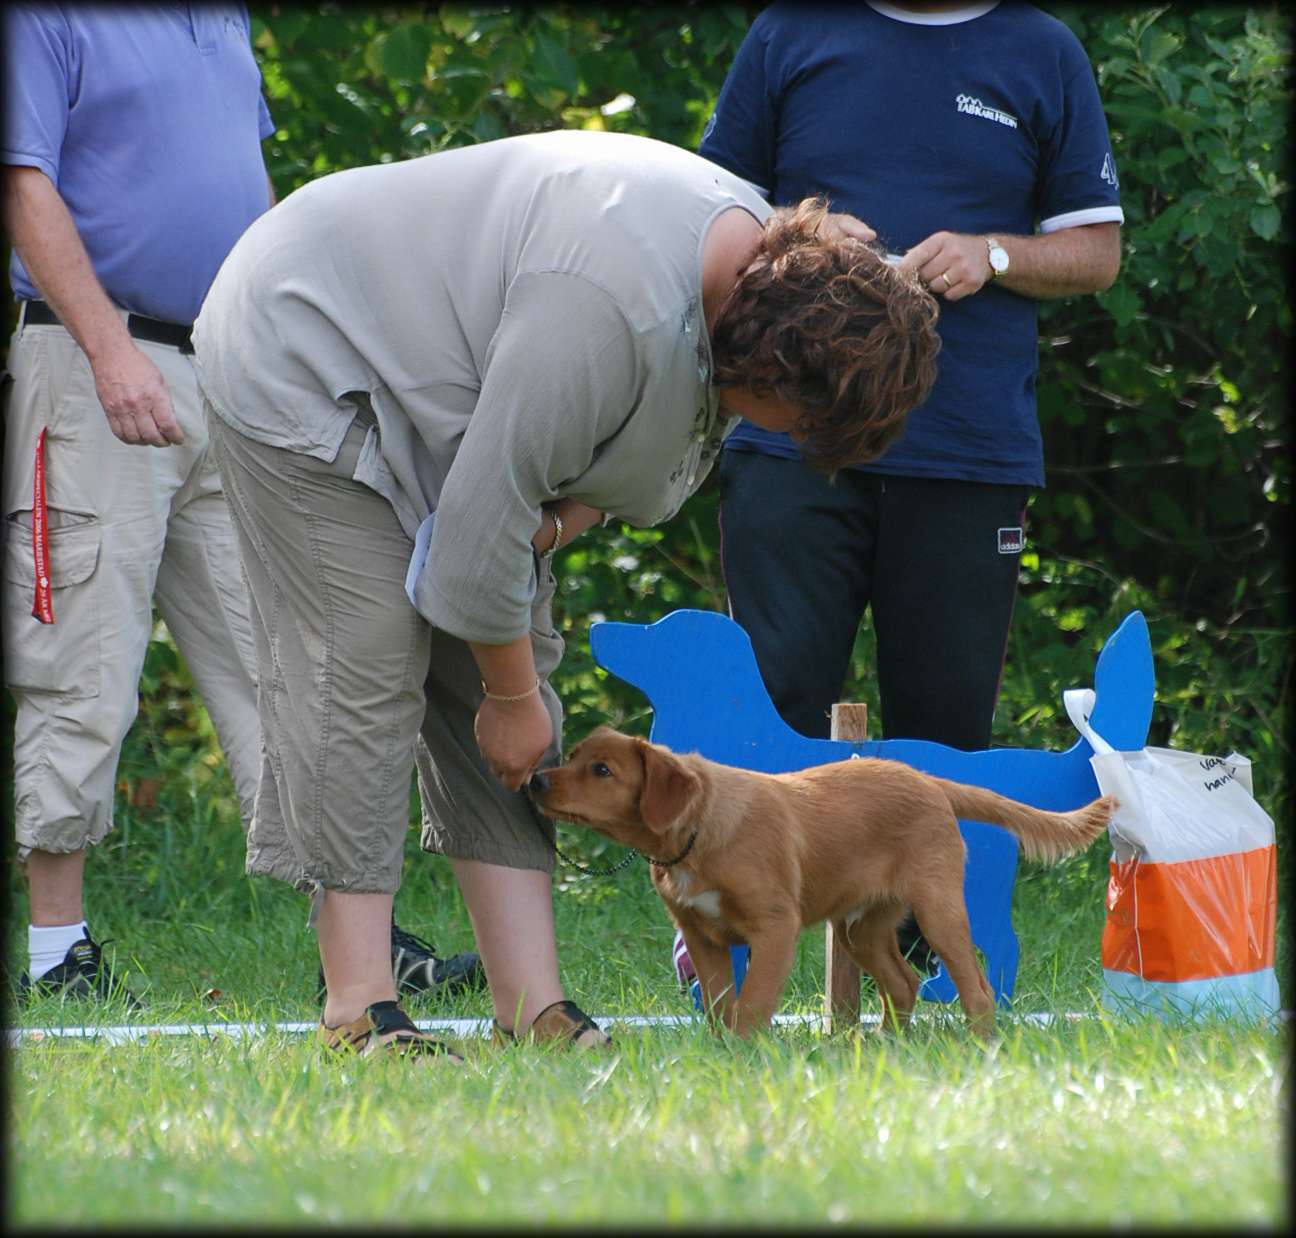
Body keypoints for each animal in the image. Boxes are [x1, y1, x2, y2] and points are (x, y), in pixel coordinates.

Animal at [528, 731, 1114, 1042]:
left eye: (602, 770)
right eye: (573, 755)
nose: (534, 779)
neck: (698, 833)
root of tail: (930, 782)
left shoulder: (774, 926)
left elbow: (752, 1001)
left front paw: (745, 1053)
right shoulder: (701, 936)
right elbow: (719, 1004)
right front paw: (720, 1051)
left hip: (938, 907)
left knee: (977, 986)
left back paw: (982, 1046)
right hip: (862, 928)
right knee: (904, 982)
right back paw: (887, 1046)